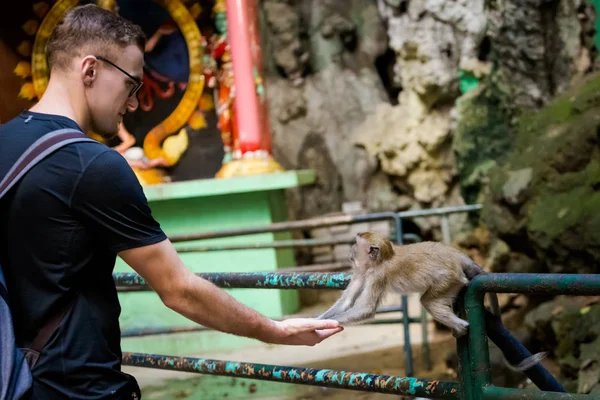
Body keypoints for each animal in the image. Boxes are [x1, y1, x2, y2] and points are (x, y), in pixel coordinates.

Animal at [318, 231, 548, 372]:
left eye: (356, 245)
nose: (350, 251)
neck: (379, 261)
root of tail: (457, 256)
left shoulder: (378, 276)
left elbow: (365, 309)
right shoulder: (361, 271)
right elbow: (347, 302)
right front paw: (317, 320)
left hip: (449, 279)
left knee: (429, 301)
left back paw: (461, 327)